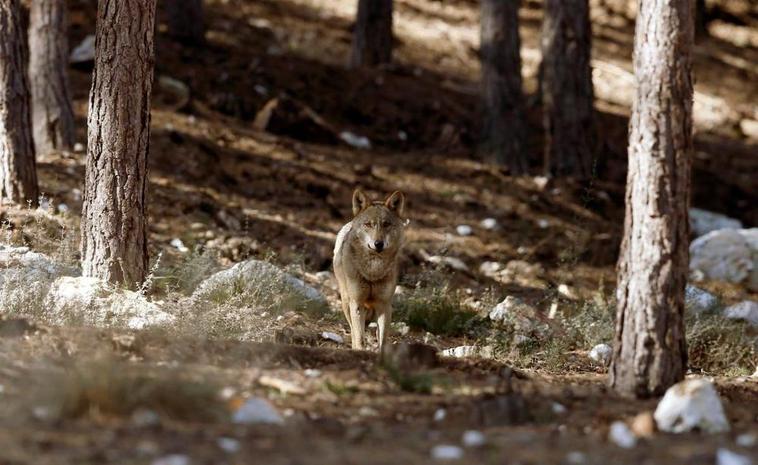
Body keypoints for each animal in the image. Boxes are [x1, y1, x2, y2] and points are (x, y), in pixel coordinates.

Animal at [334, 188, 406, 352]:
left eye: (386, 224)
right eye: (368, 224)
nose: (378, 243)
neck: (373, 271)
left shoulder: (384, 305)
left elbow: (382, 341)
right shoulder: (357, 303)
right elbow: (359, 338)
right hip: (346, 303)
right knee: (353, 332)